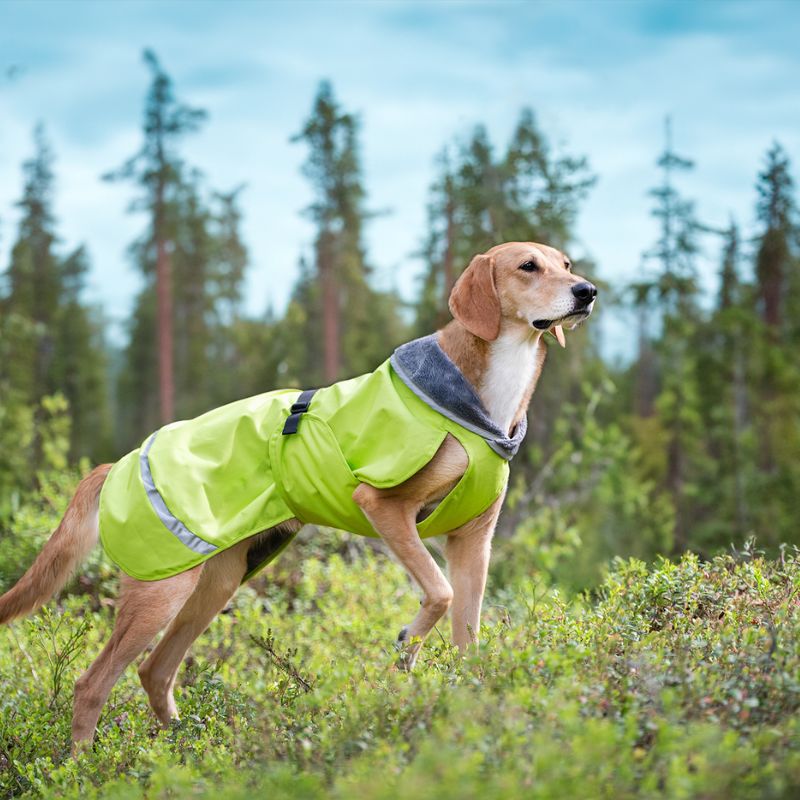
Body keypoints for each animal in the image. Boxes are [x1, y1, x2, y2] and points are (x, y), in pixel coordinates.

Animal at [0, 241, 592, 748]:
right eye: (528, 266)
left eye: (565, 263)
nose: (587, 291)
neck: (484, 401)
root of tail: (117, 463)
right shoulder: (386, 509)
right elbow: (439, 594)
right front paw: (406, 647)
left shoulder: (473, 542)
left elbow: (468, 635)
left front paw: (471, 707)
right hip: (160, 589)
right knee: (91, 684)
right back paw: (84, 766)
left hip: (217, 581)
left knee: (155, 670)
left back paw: (184, 749)